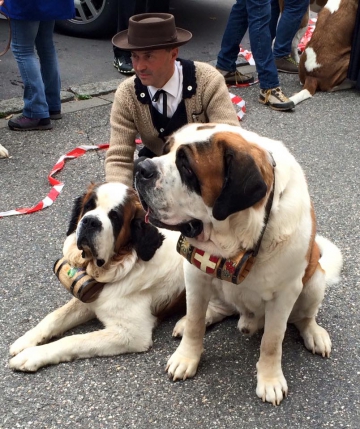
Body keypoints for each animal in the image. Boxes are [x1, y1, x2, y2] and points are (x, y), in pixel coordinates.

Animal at [9, 181, 186, 372]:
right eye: (88, 206)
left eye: (115, 217)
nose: (91, 221)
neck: (123, 266)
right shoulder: (90, 295)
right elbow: (56, 315)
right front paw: (26, 340)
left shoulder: (131, 334)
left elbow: (74, 339)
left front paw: (31, 355)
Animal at [135, 123, 344, 404]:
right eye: (165, 149)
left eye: (186, 166)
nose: (141, 167)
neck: (240, 237)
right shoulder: (195, 272)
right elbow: (194, 322)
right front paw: (186, 357)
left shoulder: (285, 293)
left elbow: (272, 340)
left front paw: (270, 380)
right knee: (215, 309)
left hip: (314, 282)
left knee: (304, 317)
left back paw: (314, 333)